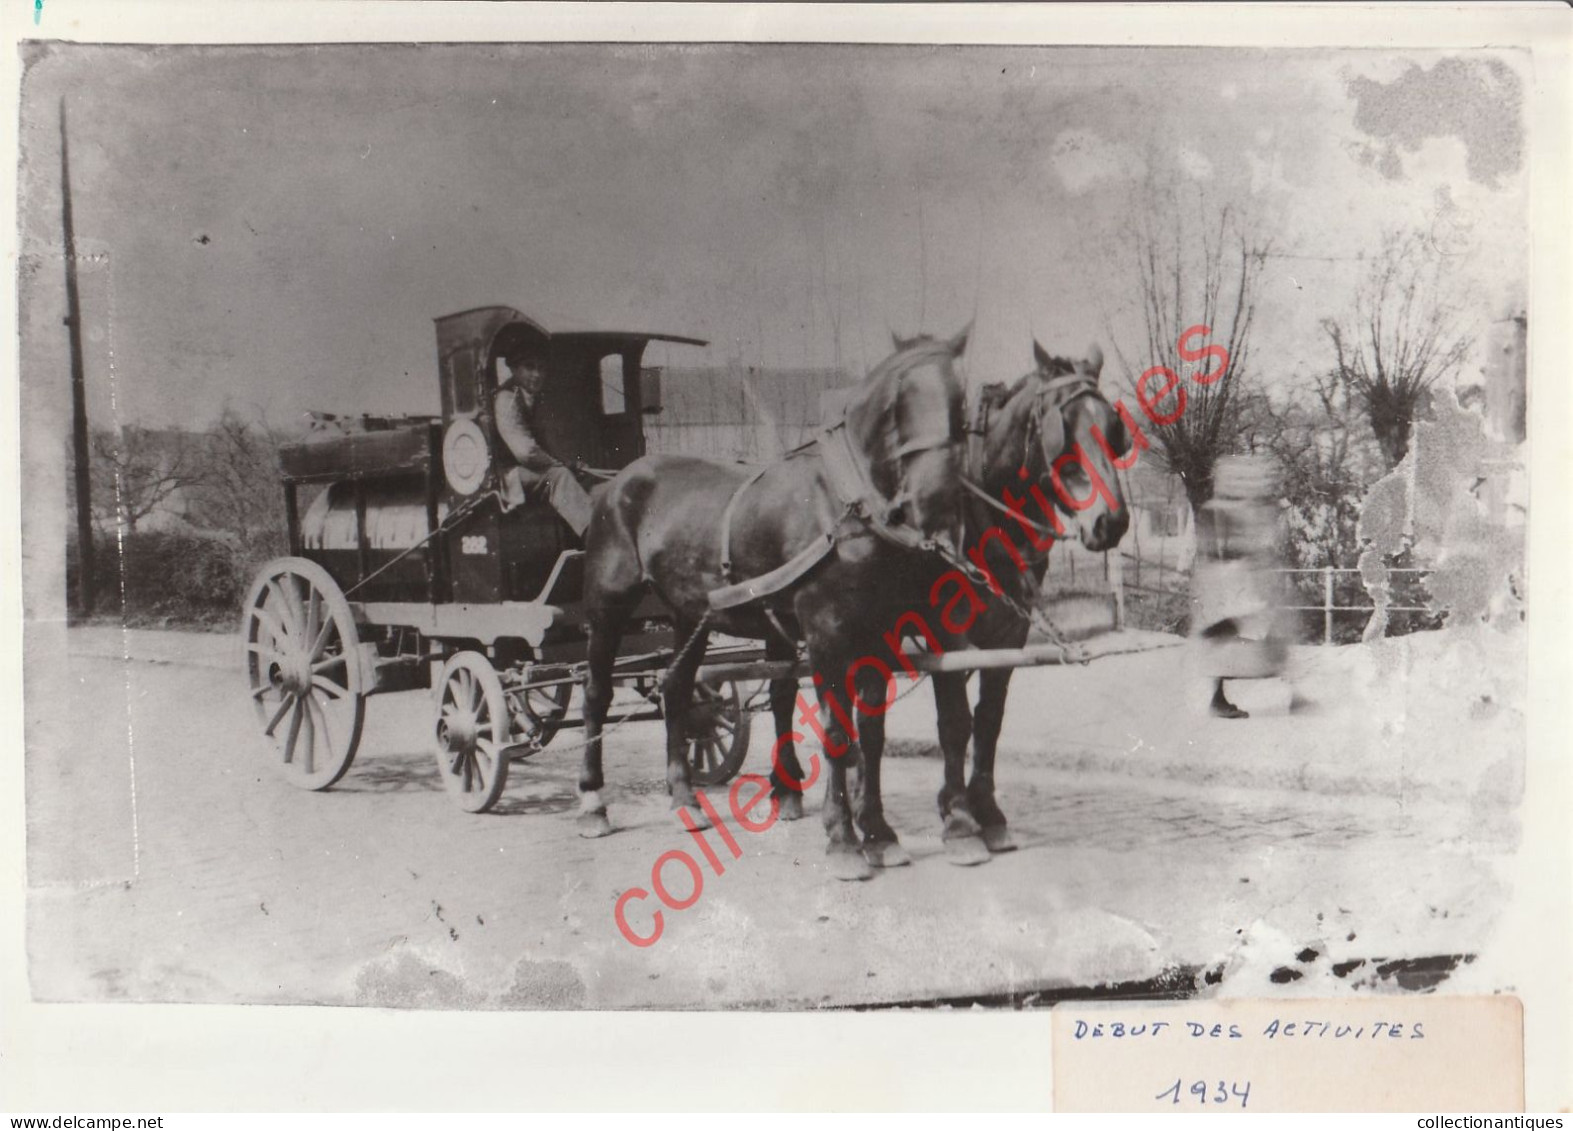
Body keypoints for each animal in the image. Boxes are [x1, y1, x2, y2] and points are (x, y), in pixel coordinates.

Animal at [578, 327, 968, 887]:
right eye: (901, 402)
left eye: (961, 399)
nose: (939, 497)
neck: (846, 504)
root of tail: (614, 483)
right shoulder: (827, 634)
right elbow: (837, 732)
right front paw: (844, 841)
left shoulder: (876, 634)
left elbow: (870, 734)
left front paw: (880, 836)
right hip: (607, 605)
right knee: (596, 694)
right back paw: (593, 803)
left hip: (689, 614)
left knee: (676, 689)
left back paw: (685, 800)